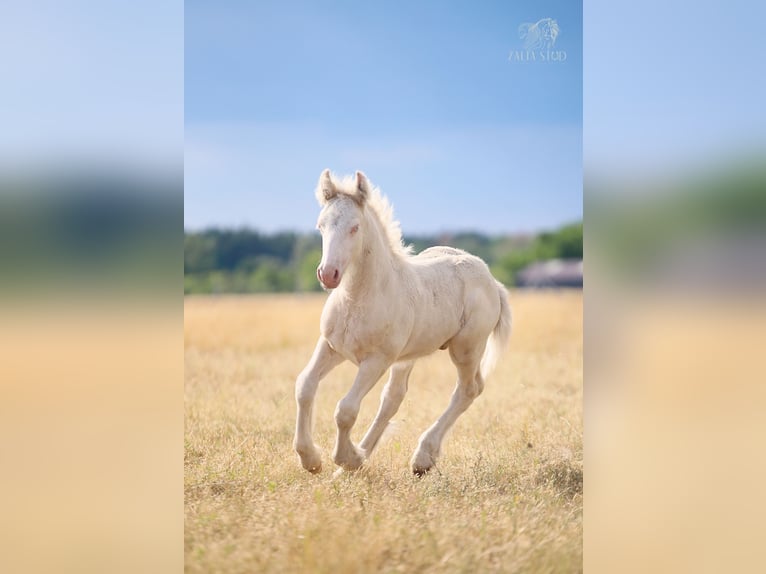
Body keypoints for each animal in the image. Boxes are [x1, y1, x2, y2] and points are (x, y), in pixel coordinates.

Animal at [293, 169, 512, 475]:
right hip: (408, 356)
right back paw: (360, 460)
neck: (358, 298)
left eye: (355, 228)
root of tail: (492, 281)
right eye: (320, 226)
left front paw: (345, 457)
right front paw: (311, 459)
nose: (328, 274)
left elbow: (346, 409)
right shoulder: (331, 347)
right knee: (393, 398)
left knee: (469, 390)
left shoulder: (377, 359)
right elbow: (304, 387)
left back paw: (421, 458)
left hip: (466, 349)